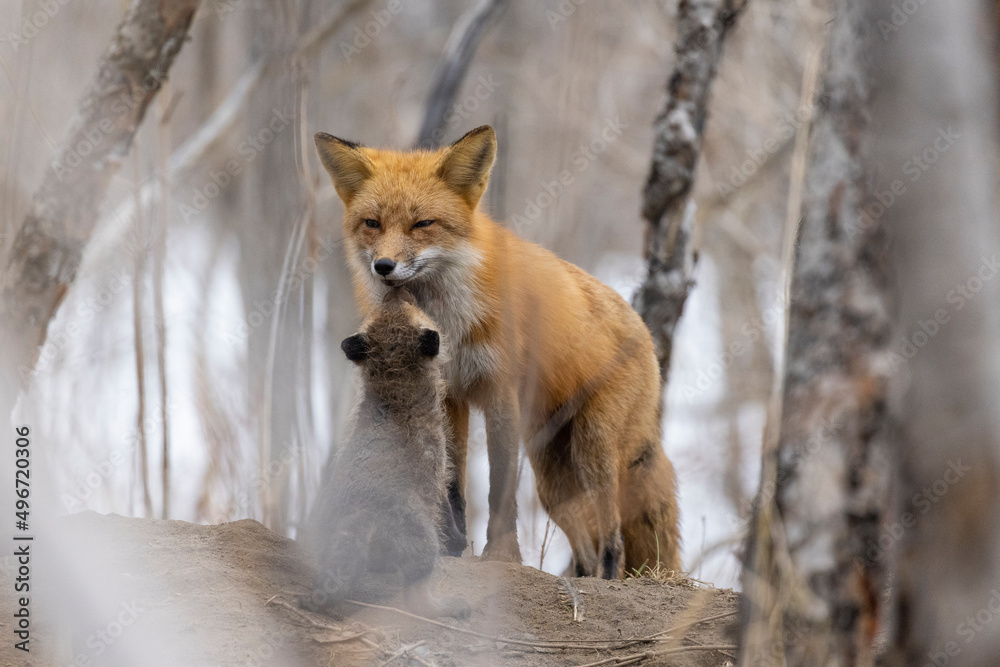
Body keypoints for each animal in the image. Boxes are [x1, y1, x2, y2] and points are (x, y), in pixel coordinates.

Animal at [300, 288, 469, 619]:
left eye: (386, 307)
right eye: (411, 305)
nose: (395, 289)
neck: (395, 396)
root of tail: (356, 520)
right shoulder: (439, 470)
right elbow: (447, 512)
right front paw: (459, 541)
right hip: (424, 547)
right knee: (416, 596)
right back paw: (450, 607)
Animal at [314, 125, 680, 578]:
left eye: (422, 224)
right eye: (372, 223)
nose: (384, 266)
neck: (449, 321)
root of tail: (643, 328)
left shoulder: (499, 388)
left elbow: (500, 484)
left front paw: (501, 555)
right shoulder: (449, 394)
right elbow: (453, 482)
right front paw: (450, 546)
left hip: (592, 450)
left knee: (613, 534)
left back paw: (608, 579)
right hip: (553, 481)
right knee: (585, 545)